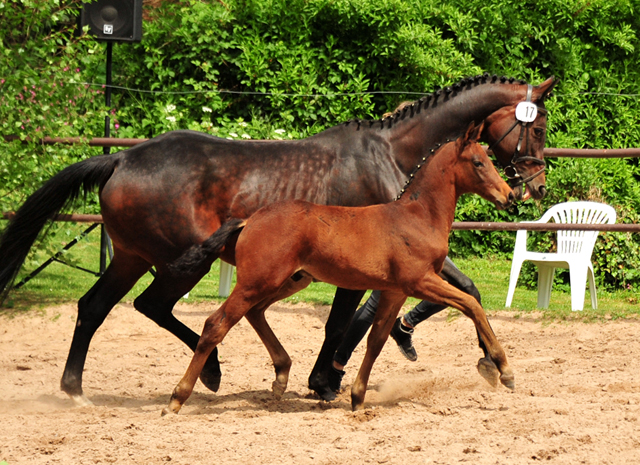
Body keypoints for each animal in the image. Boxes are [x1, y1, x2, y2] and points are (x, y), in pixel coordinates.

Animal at [164, 120, 516, 414]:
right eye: (478, 162)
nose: (509, 196)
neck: (417, 217)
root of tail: (250, 219)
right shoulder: (420, 281)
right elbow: (471, 304)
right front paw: (503, 369)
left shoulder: (394, 292)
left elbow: (376, 341)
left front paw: (358, 398)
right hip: (259, 281)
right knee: (217, 324)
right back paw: (178, 398)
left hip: (288, 281)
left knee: (255, 312)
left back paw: (281, 376)